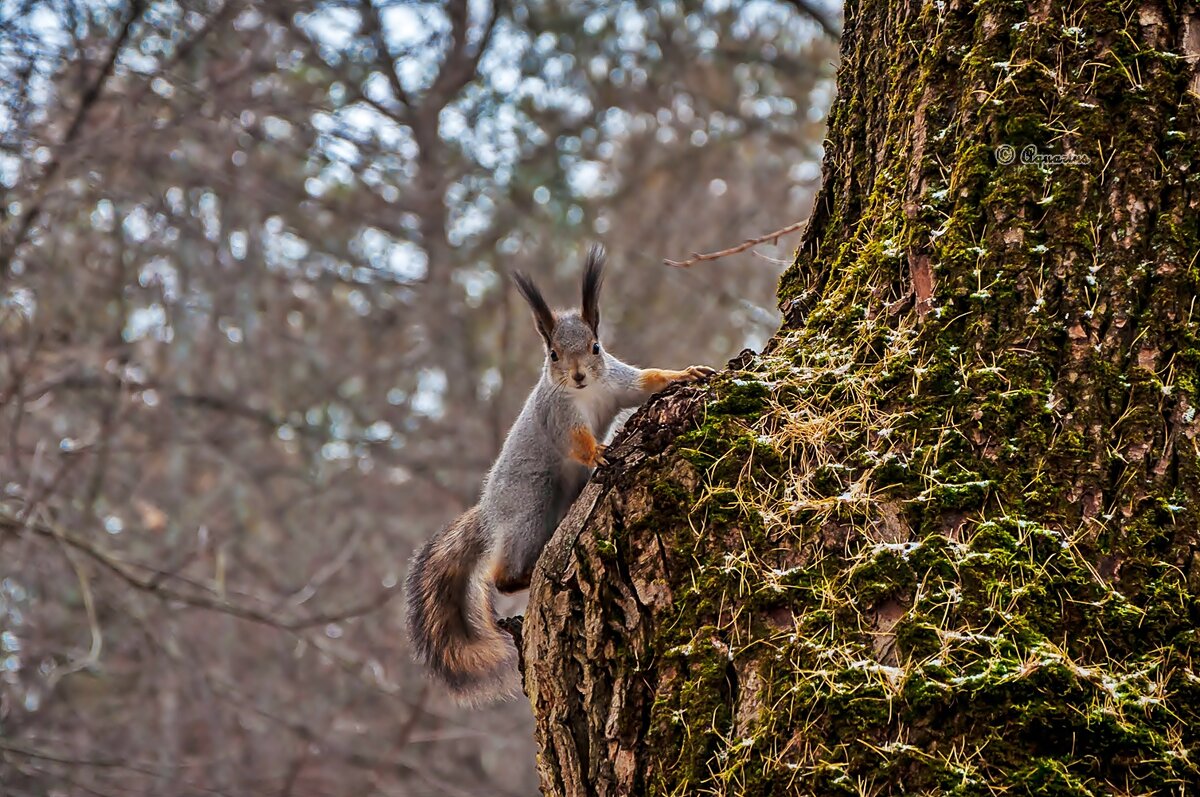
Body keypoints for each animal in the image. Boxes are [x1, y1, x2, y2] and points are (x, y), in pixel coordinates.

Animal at [403, 244, 710, 705]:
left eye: (596, 347)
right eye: (552, 355)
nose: (579, 375)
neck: (589, 392)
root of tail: (489, 513)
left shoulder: (620, 383)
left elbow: (648, 382)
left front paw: (687, 373)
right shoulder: (559, 416)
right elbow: (577, 444)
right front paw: (599, 452)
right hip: (530, 506)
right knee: (500, 575)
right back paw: (525, 575)